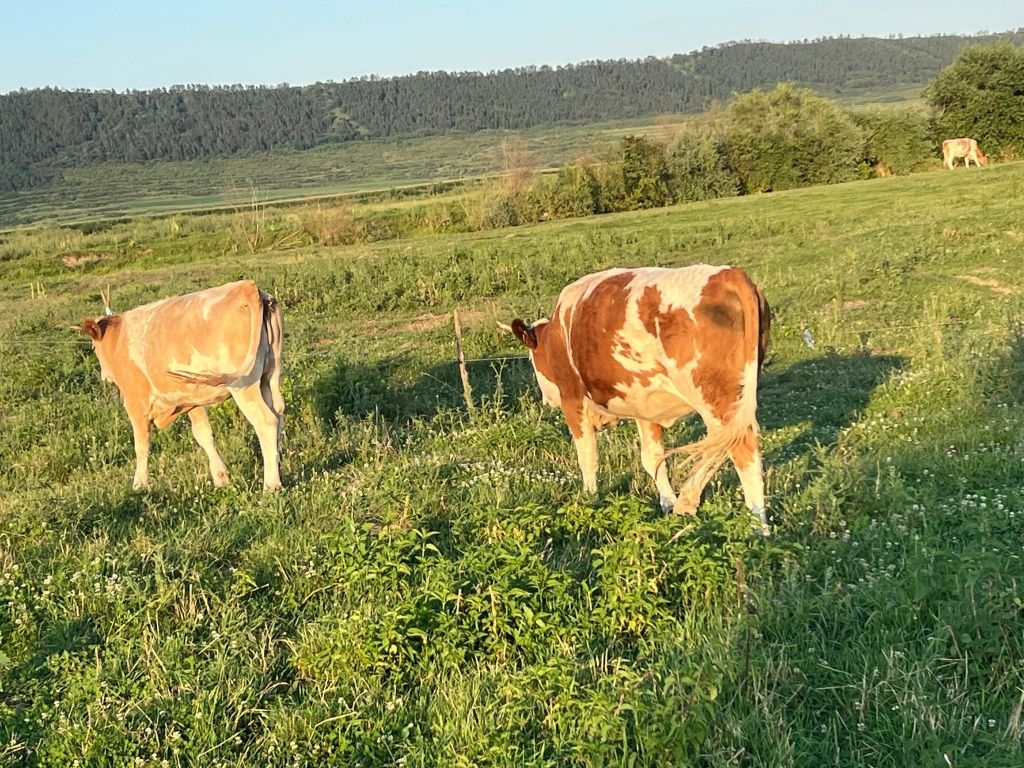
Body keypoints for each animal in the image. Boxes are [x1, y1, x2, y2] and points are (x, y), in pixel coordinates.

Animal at [74, 282, 284, 493]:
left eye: (93, 347)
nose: (104, 375)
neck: (119, 338)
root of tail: (246, 287)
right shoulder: (191, 400)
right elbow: (203, 434)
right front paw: (221, 479)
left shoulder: (135, 402)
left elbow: (141, 444)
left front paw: (139, 484)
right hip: (269, 375)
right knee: (278, 412)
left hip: (243, 385)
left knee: (266, 421)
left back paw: (271, 485)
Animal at [507, 264, 770, 536]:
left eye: (532, 358)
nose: (546, 399)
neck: (558, 331)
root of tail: (728, 274)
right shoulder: (646, 405)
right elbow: (652, 458)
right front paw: (668, 503)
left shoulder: (573, 398)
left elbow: (588, 457)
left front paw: (589, 499)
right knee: (726, 443)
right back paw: (688, 502)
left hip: (715, 397)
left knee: (741, 447)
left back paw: (757, 527)